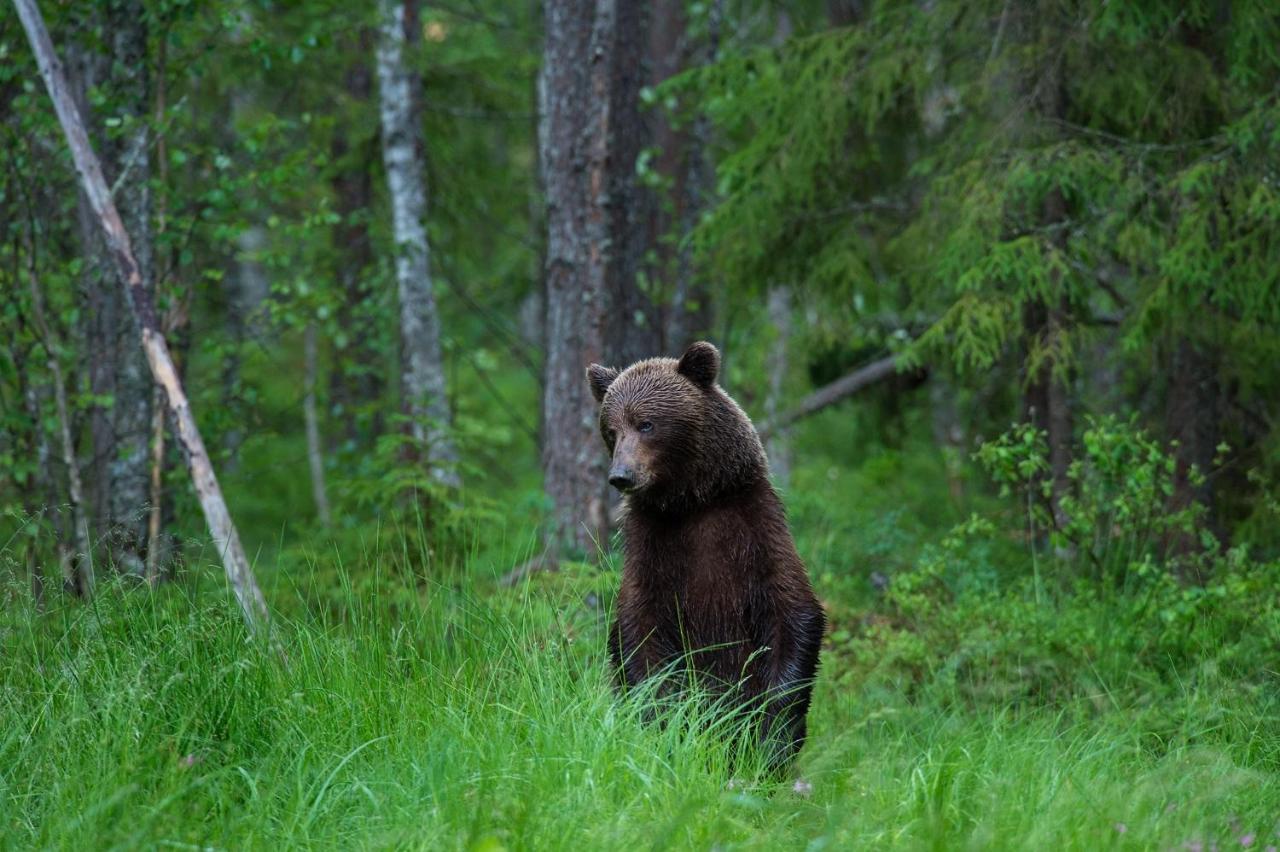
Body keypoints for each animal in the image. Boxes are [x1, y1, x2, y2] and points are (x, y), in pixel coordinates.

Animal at [586, 340, 824, 767]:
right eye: (611, 430)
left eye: (647, 424)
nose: (621, 476)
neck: (691, 503)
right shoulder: (651, 548)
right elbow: (638, 633)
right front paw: (667, 722)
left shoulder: (755, 531)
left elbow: (791, 613)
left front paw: (771, 736)